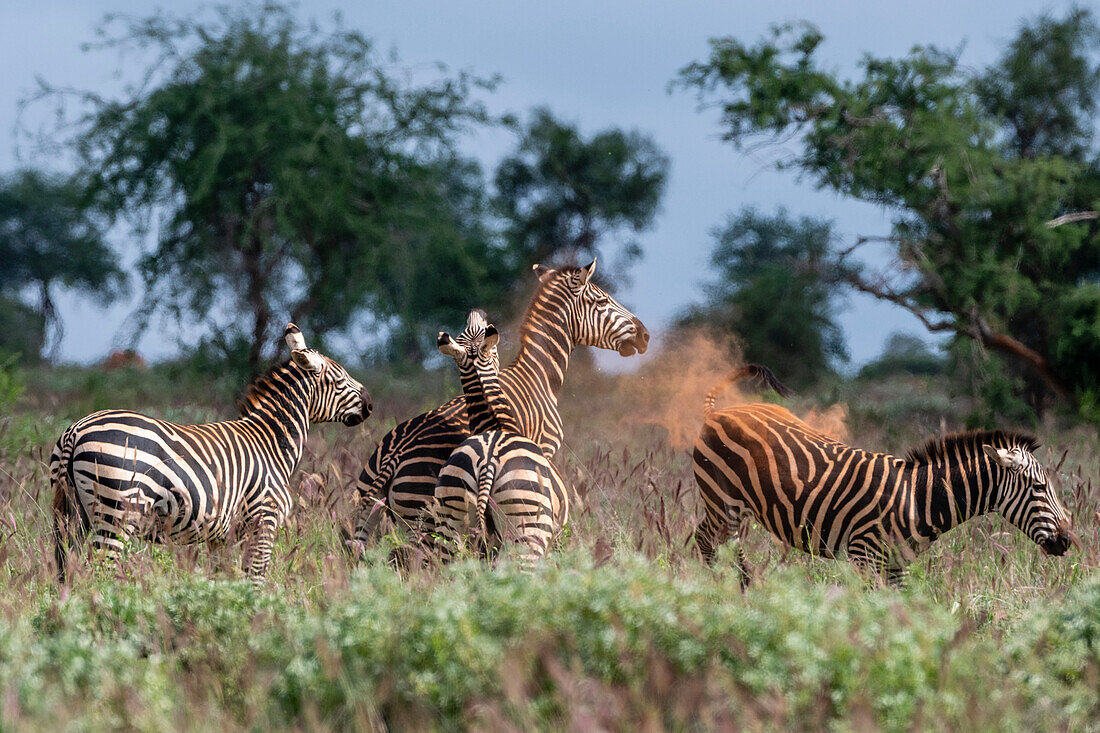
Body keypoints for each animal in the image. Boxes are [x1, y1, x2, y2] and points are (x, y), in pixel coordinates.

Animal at [51, 323, 371, 581]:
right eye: (340, 380)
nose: (370, 405)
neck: (271, 440)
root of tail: (75, 430)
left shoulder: (221, 537)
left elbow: (222, 581)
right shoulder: (263, 521)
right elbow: (254, 580)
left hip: (73, 516)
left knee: (67, 569)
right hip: (117, 512)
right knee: (102, 570)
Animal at [349, 258, 642, 548]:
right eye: (602, 300)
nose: (644, 335)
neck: (538, 375)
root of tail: (393, 456)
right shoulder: (546, 448)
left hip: (369, 514)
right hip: (424, 521)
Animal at [690, 367, 1078, 585]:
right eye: (1040, 487)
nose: (1068, 541)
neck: (919, 500)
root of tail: (716, 412)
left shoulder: (896, 566)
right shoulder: (865, 556)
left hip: (725, 507)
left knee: (706, 540)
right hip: (723, 502)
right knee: (714, 544)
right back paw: (730, 592)